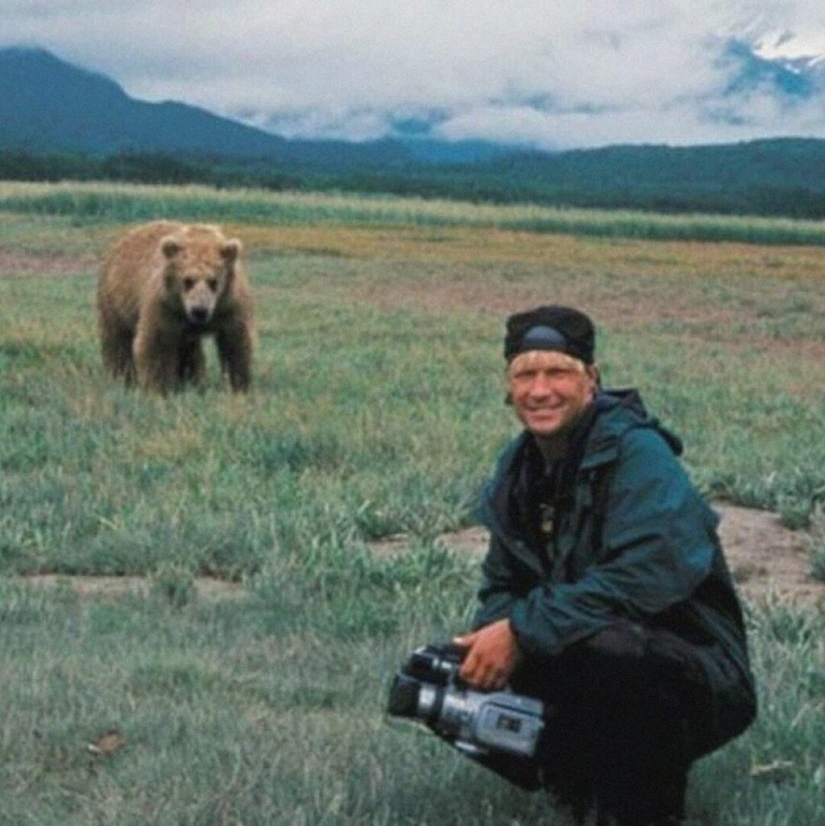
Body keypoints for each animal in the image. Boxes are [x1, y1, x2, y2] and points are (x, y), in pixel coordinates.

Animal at [96, 220, 253, 392]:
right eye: (187, 280)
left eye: (214, 281)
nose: (200, 311)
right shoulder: (165, 306)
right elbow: (156, 344)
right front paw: (158, 387)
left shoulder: (230, 306)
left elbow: (235, 344)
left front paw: (238, 386)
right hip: (115, 301)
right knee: (117, 340)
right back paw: (121, 376)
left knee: (189, 351)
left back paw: (191, 380)